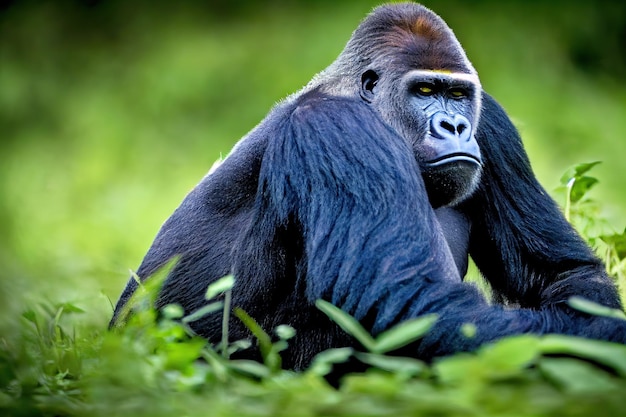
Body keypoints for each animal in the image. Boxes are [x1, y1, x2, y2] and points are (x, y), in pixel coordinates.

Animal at [112, 2, 624, 368]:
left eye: (458, 94)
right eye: (424, 91)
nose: (456, 127)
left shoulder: (490, 120)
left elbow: (563, 274)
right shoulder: (337, 129)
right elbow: (407, 303)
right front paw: (610, 344)